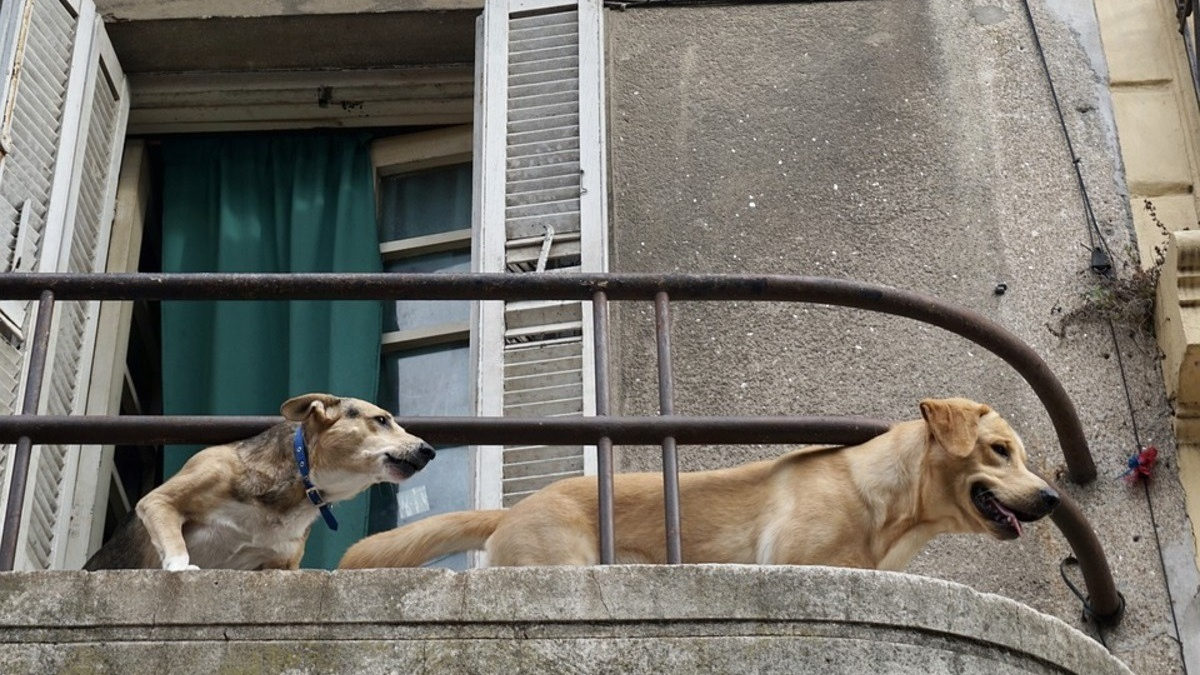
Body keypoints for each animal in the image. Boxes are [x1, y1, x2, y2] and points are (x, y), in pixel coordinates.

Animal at [84, 391, 434, 569]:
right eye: (382, 420)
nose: (429, 451)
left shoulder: (284, 565)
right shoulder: (159, 500)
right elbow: (176, 544)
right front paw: (181, 567)